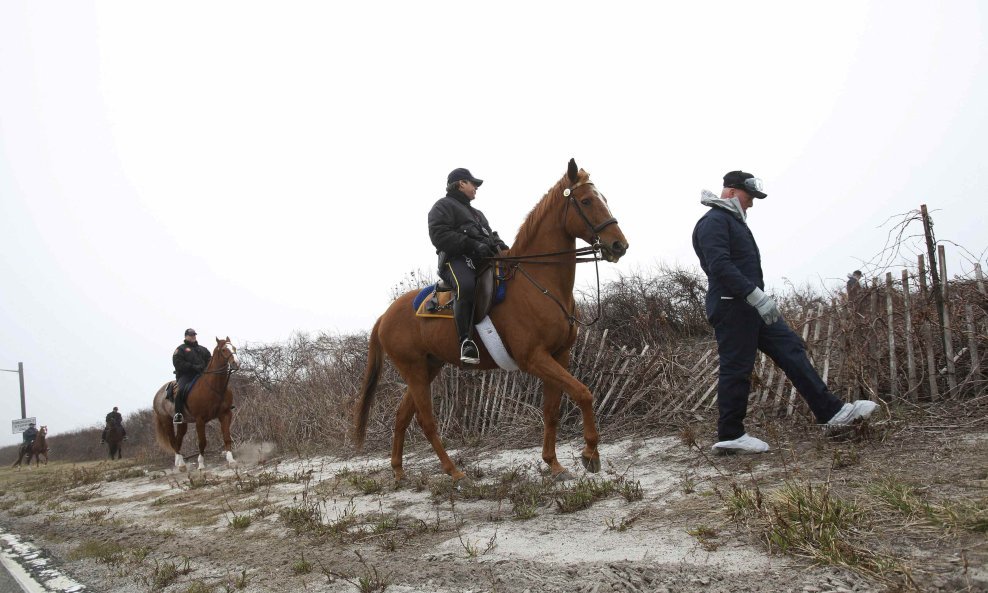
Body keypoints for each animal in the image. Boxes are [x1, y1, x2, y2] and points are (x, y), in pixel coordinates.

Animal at [152, 338, 241, 472]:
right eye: (224, 350)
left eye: (234, 348)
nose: (236, 363)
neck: (214, 387)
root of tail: (157, 395)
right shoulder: (200, 420)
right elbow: (202, 442)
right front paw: (201, 464)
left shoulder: (225, 414)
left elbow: (226, 437)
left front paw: (231, 461)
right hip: (166, 421)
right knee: (173, 441)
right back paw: (181, 465)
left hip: (183, 423)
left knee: (178, 440)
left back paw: (179, 462)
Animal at [358, 161, 628, 480]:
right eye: (586, 201)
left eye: (604, 199)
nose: (619, 245)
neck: (538, 282)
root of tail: (385, 315)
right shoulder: (534, 358)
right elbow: (584, 393)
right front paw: (589, 454)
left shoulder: (558, 355)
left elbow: (552, 410)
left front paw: (553, 463)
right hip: (413, 370)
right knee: (426, 421)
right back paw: (453, 472)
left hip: (427, 368)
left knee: (402, 416)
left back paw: (399, 471)